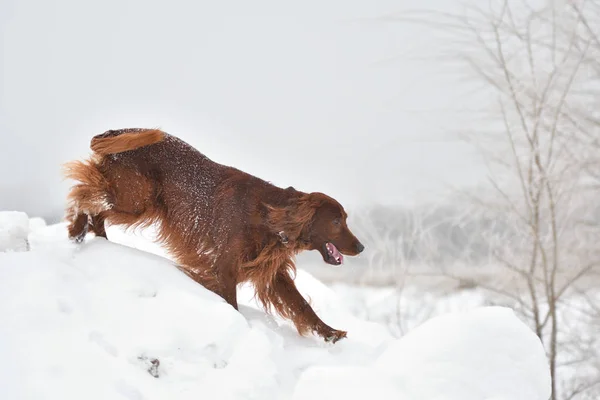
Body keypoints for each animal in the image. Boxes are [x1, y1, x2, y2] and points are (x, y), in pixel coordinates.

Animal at [65, 130, 366, 342]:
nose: (362, 247)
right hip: (135, 199)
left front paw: (330, 333)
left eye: (344, 219)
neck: (268, 215)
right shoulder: (225, 268)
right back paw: (77, 229)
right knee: (85, 196)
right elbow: (231, 302)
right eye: (336, 221)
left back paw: (96, 240)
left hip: (134, 201)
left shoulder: (271, 274)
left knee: (96, 208)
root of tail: (119, 131)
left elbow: (301, 305)